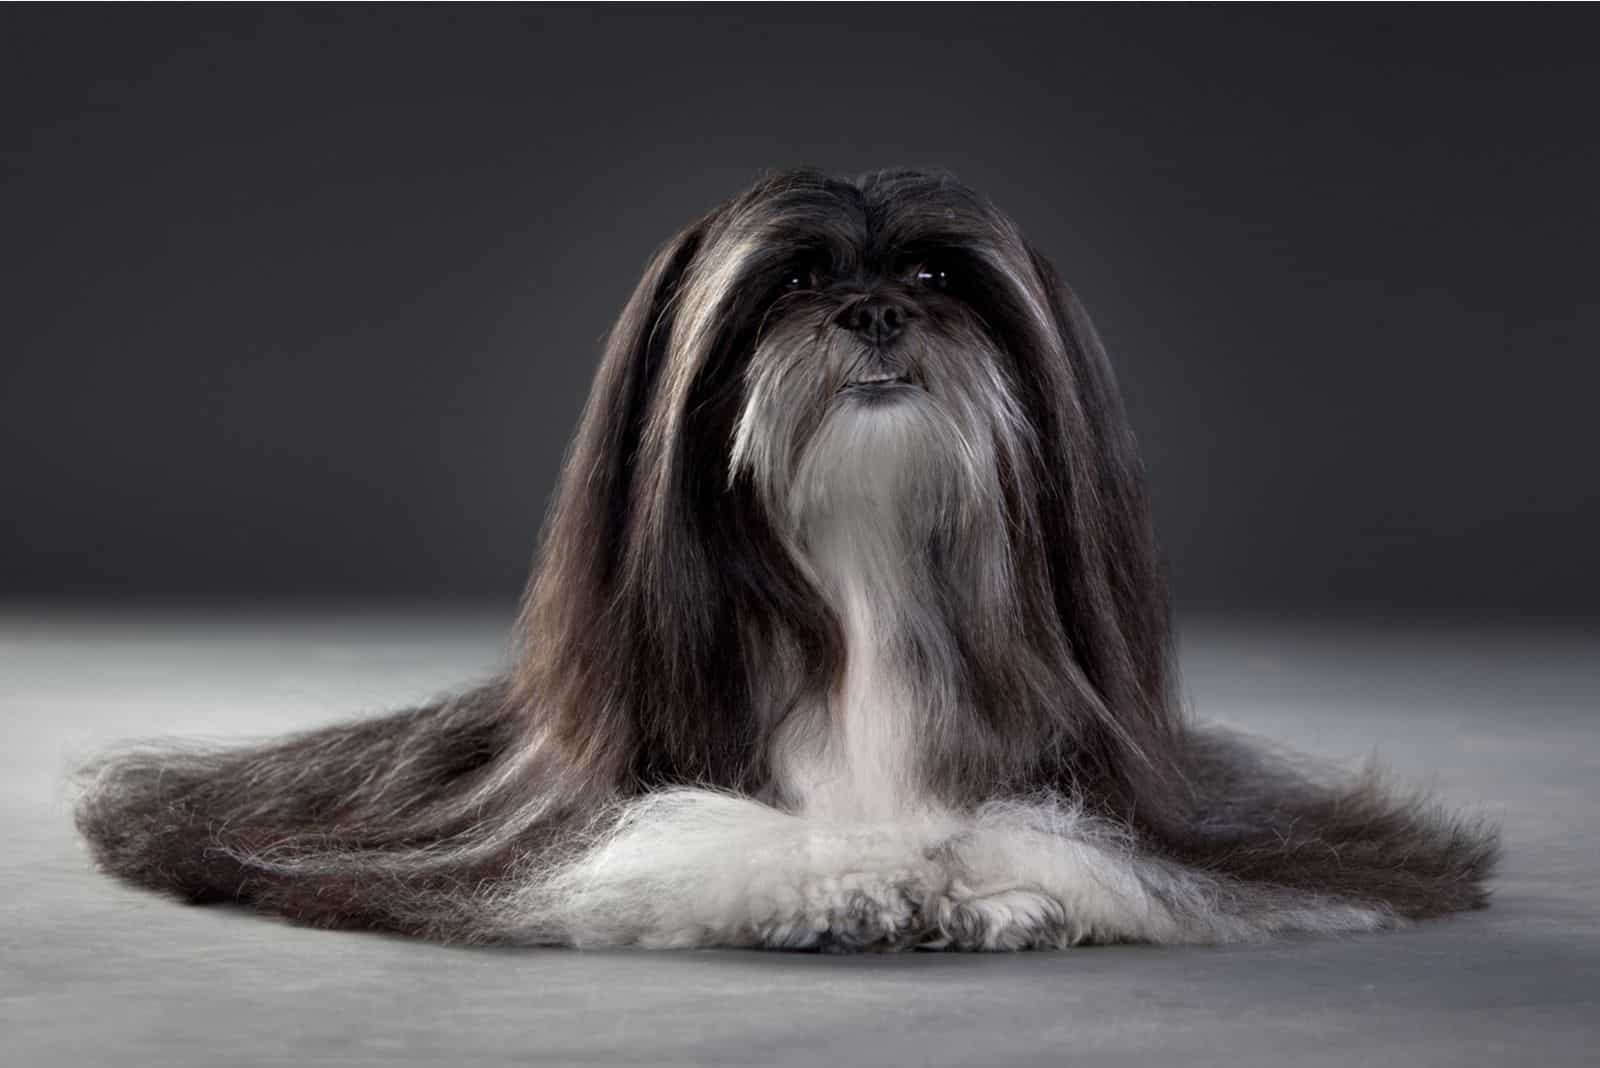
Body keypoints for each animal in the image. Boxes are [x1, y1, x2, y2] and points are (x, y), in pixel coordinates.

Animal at [75, 167, 1497, 952]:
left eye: (941, 277)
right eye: (791, 285)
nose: (870, 310)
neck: (864, 572)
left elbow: (1081, 840)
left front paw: (996, 886)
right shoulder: (584, 818)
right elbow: (684, 836)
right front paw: (855, 881)